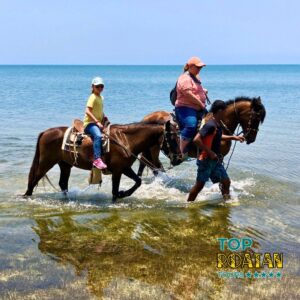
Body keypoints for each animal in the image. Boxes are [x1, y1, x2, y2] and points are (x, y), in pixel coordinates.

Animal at [24, 121, 175, 202]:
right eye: (172, 136)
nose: (176, 157)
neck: (125, 140)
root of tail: (45, 132)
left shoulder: (124, 168)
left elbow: (137, 181)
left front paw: (123, 193)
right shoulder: (118, 170)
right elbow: (114, 191)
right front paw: (119, 196)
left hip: (65, 164)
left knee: (62, 183)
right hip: (46, 163)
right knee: (33, 180)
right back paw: (26, 196)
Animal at [137, 96, 266, 177]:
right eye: (256, 118)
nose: (251, 138)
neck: (219, 123)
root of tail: (146, 118)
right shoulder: (217, 156)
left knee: (145, 162)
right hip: (154, 149)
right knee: (152, 164)